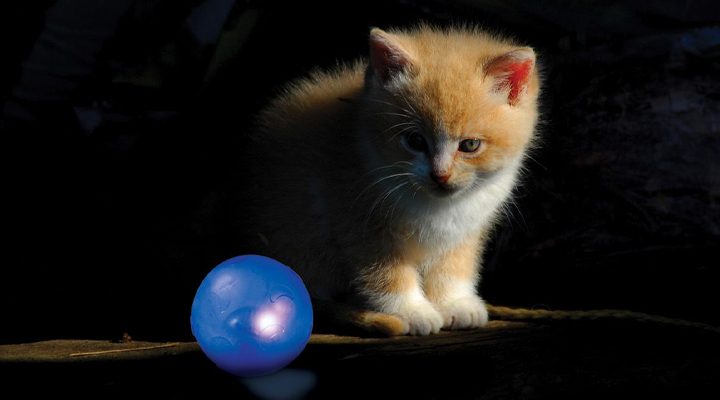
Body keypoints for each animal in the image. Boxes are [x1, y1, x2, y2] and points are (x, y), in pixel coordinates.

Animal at [238, 25, 540, 336]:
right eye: (415, 141)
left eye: (469, 145)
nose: (440, 174)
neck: (435, 205)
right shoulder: (358, 222)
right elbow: (387, 274)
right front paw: (412, 311)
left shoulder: (465, 227)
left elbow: (452, 265)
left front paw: (454, 303)